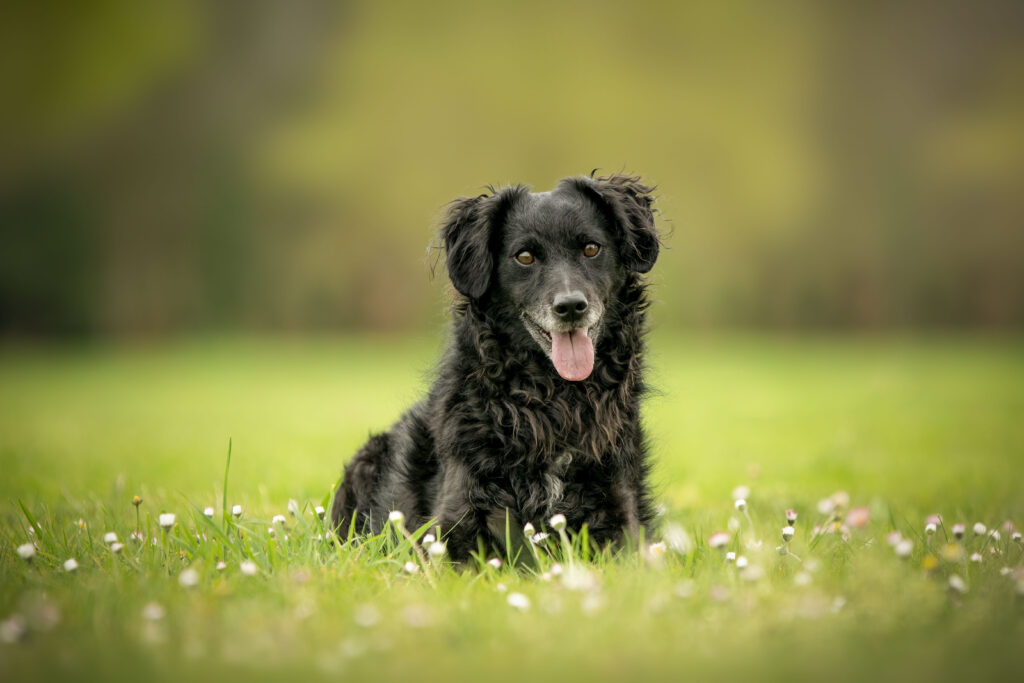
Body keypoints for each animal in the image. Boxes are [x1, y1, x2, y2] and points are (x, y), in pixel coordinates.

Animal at [331, 174, 659, 565]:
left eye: (592, 249)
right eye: (525, 257)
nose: (570, 306)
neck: (555, 399)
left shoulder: (620, 510)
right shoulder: (455, 523)